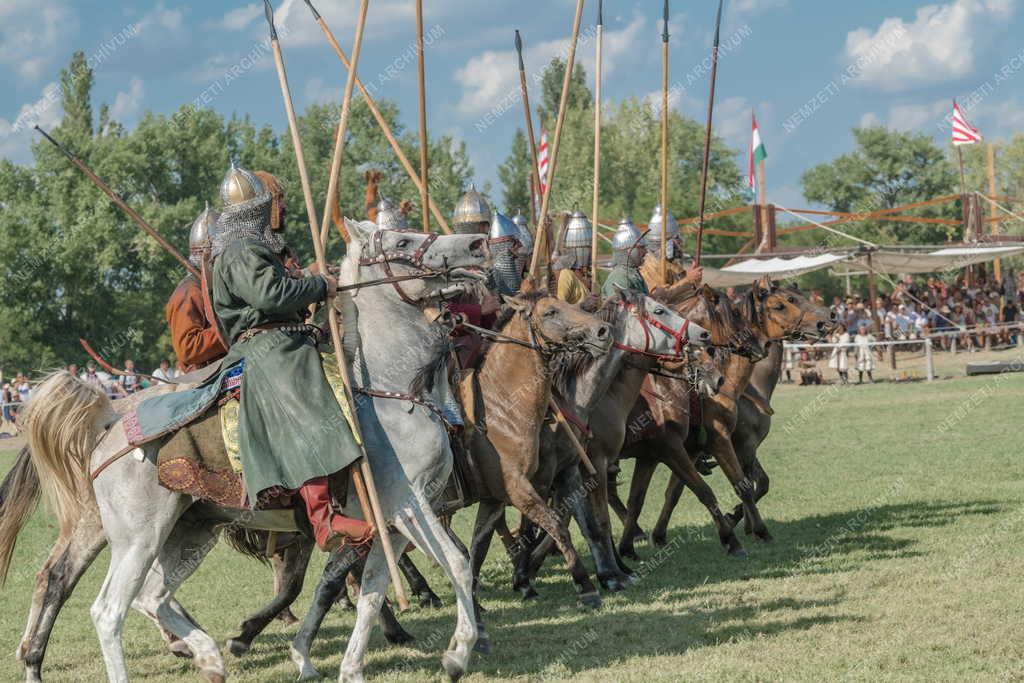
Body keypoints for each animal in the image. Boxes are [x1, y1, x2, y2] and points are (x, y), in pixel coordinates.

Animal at [23, 222, 487, 679]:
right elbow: (457, 564)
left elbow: (373, 592)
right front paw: (457, 653)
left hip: (191, 529)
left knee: (151, 596)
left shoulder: (390, 524)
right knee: (107, 609)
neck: (390, 390)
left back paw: (208, 655)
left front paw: (350, 668)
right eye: (403, 239)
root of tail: (110, 426)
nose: (476, 246)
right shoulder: (408, 506)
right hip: (137, 537)